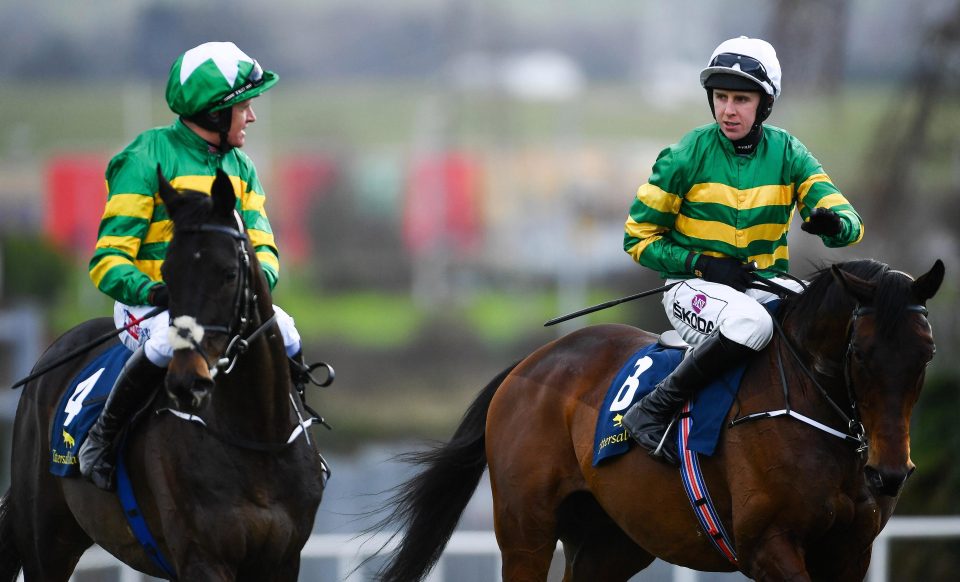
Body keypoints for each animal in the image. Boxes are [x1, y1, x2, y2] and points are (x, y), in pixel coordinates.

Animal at [0, 169, 326, 582]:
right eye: (168, 273)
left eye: (229, 273)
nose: (187, 380)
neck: (256, 441)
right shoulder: (202, 557)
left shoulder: (282, 560)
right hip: (45, 542)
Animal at [372, 260, 940, 582]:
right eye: (860, 354)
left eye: (927, 354)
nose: (890, 473)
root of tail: (530, 364)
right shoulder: (768, 545)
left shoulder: (850, 553)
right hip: (525, 532)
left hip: (611, 540)